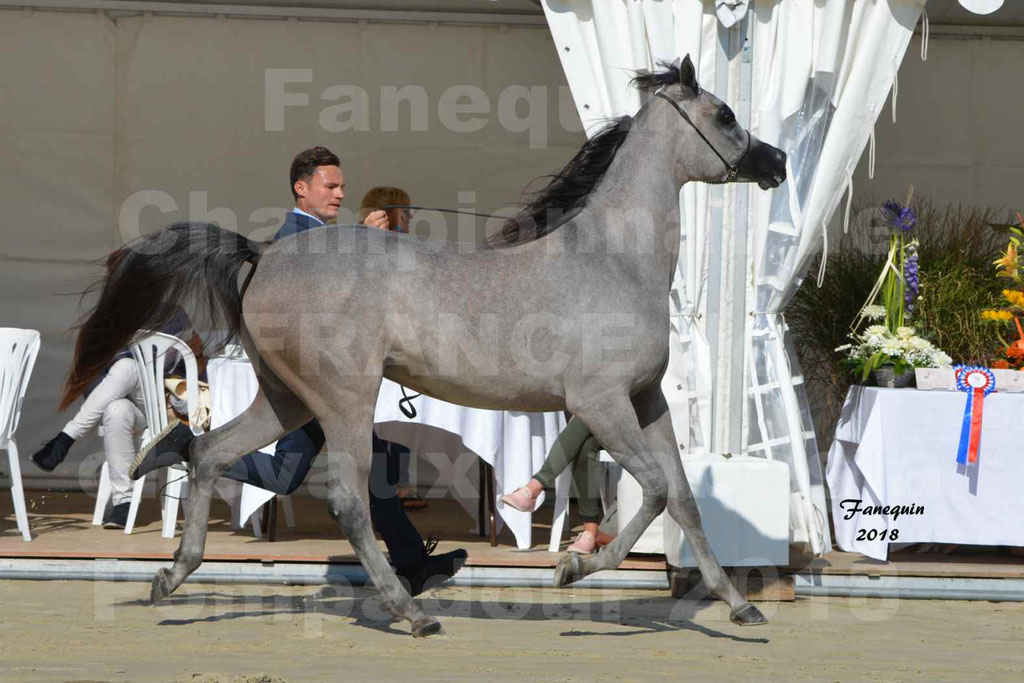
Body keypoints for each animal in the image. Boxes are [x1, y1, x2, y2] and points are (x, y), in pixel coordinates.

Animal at [64, 56, 782, 638]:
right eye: (724, 114)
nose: (774, 162)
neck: (612, 260)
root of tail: (263, 255)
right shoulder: (600, 403)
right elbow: (656, 489)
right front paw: (574, 569)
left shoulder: (646, 398)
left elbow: (683, 498)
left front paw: (740, 605)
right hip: (344, 398)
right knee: (348, 500)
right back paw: (412, 613)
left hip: (286, 399)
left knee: (211, 451)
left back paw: (171, 573)